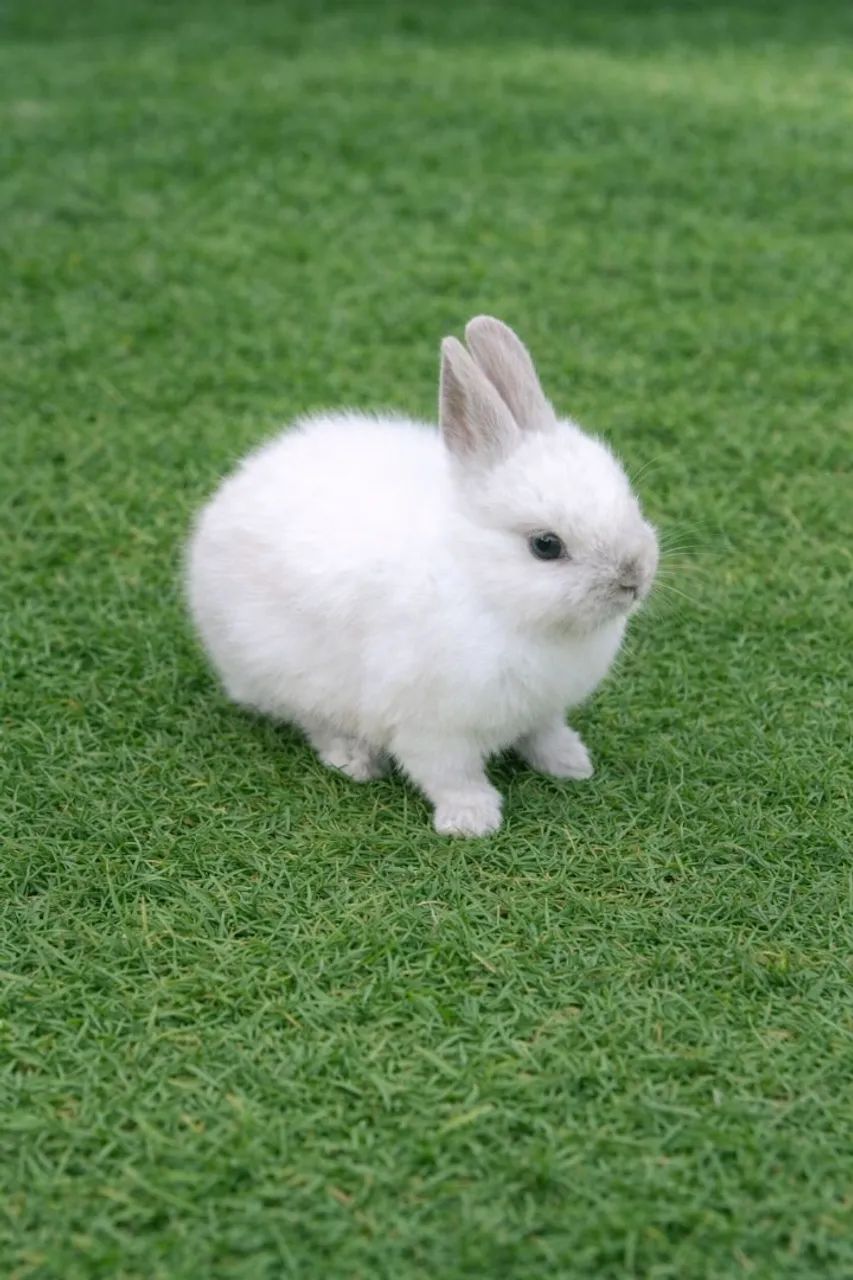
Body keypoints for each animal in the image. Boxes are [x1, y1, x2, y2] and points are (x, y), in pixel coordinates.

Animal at [186, 316, 659, 836]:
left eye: (628, 498)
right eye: (546, 545)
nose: (633, 579)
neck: (484, 586)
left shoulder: (543, 709)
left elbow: (545, 734)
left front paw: (571, 764)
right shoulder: (431, 727)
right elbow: (450, 774)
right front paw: (472, 821)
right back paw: (354, 759)